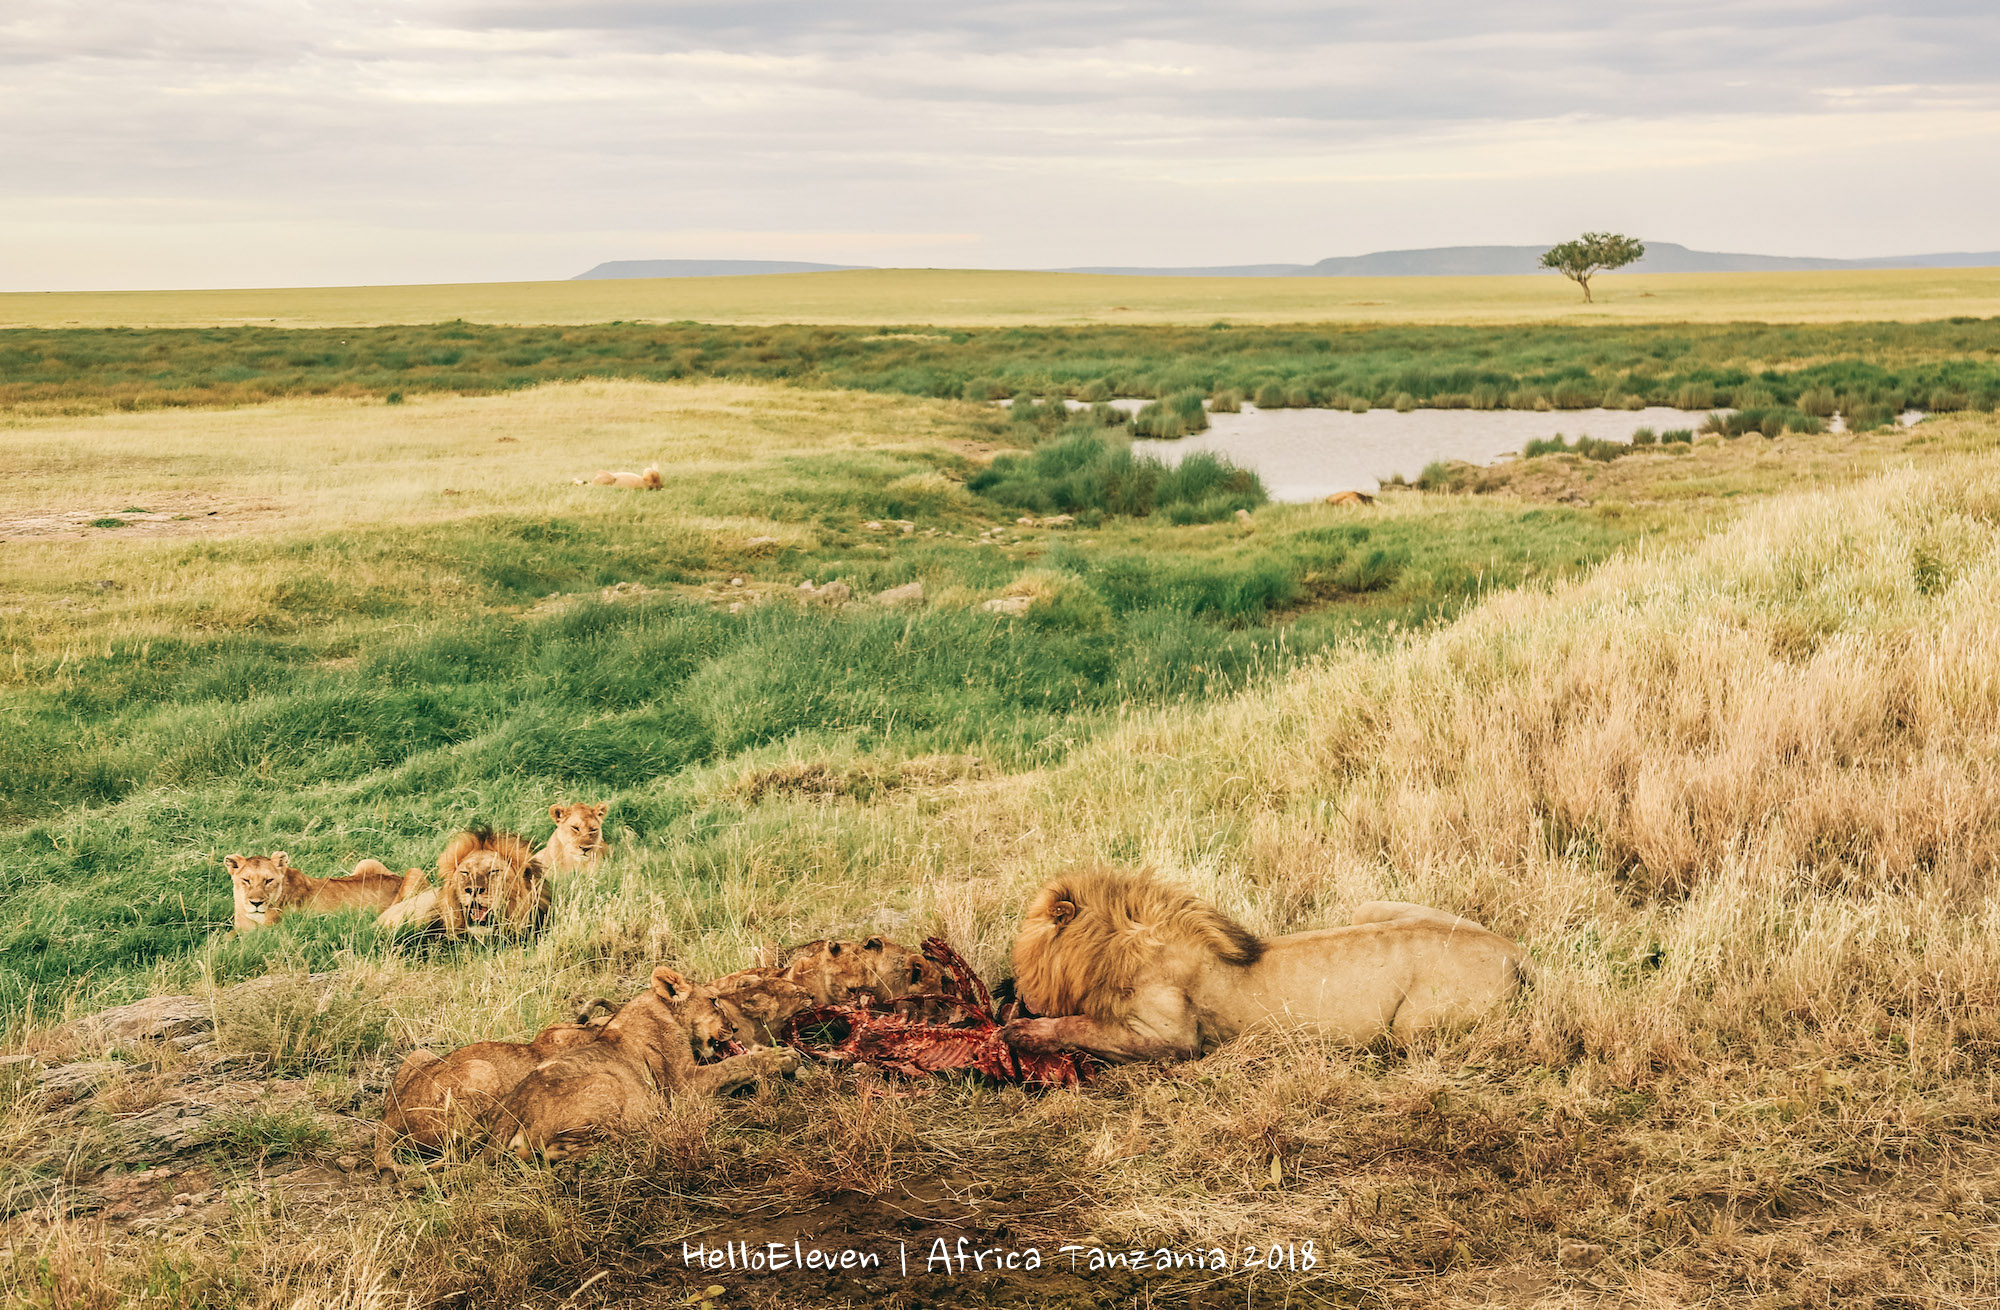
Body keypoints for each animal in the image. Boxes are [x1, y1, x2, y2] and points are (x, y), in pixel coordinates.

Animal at [225, 856, 428, 936]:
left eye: (268, 880)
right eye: (246, 880)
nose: (256, 903)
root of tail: (398, 876)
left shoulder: (277, 930)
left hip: (414, 872)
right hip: (367, 862)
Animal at [482, 968, 796, 1160]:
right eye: (714, 1001)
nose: (733, 1027)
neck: (664, 1011)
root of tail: (506, 1120)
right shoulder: (684, 1088)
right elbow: (732, 1067)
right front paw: (783, 1057)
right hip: (607, 1082)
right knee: (553, 1152)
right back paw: (635, 1133)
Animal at [1000, 872, 1528, 1064]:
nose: (1007, 986)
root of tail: (1513, 948)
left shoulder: (1174, 1039)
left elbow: (1079, 1025)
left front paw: (1020, 1033)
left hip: (1411, 1029)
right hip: (1370, 908)